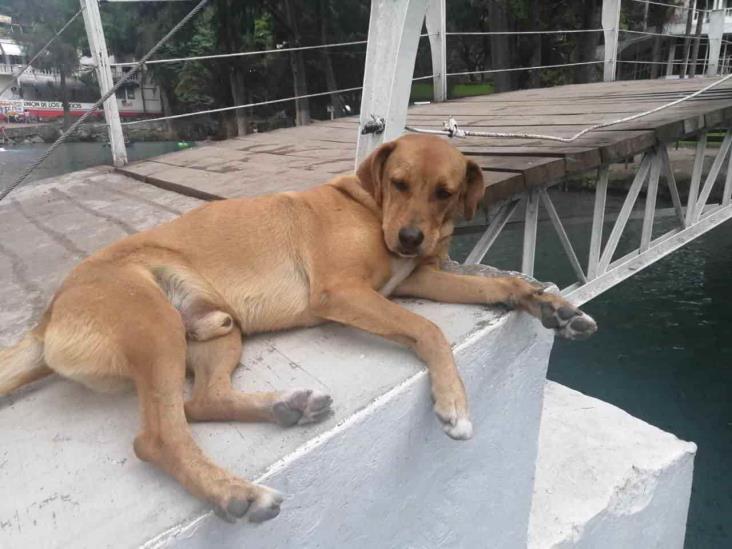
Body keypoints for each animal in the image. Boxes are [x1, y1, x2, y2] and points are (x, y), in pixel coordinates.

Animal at [0, 134, 596, 524]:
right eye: (399, 182)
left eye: (445, 192)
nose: (409, 239)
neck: (370, 206)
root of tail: (48, 316)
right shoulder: (346, 293)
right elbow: (427, 330)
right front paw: (453, 403)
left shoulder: (414, 280)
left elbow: (499, 287)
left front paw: (549, 305)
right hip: (154, 326)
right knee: (158, 435)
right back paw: (236, 494)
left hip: (218, 329)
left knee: (200, 401)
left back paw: (286, 408)